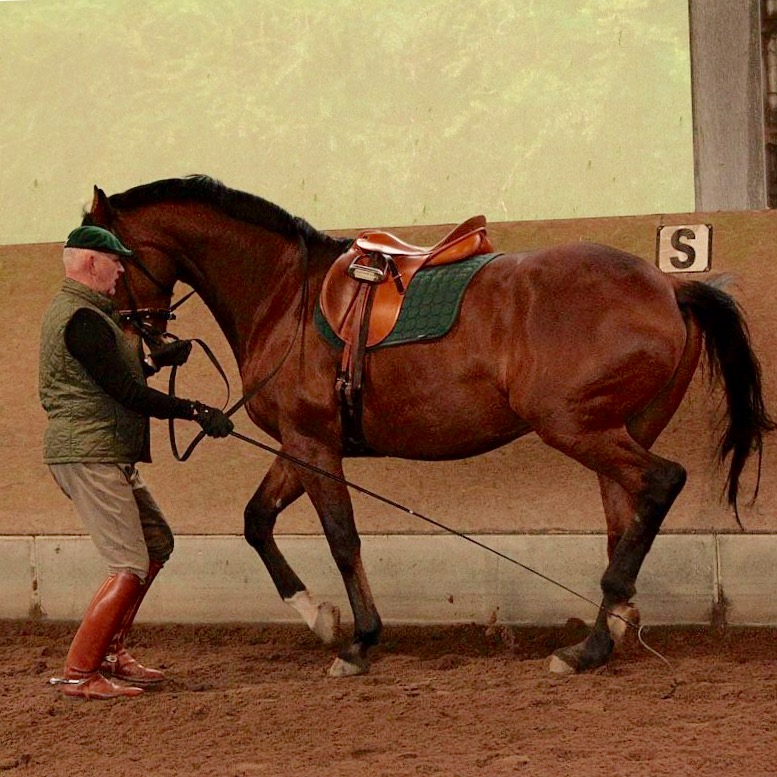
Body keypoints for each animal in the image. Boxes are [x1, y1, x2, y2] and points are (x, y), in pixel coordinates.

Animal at [82, 174, 772, 672]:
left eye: (113, 262)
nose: (140, 342)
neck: (285, 295)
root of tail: (669, 289)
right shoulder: (304, 445)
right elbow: (257, 521)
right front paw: (319, 618)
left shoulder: (314, 443)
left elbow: (342, 539)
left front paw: (359, 641)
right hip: (614, 432)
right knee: (626, 519)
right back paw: (598, 640)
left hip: (578, 428)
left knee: (660, 484)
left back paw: (601, 634)